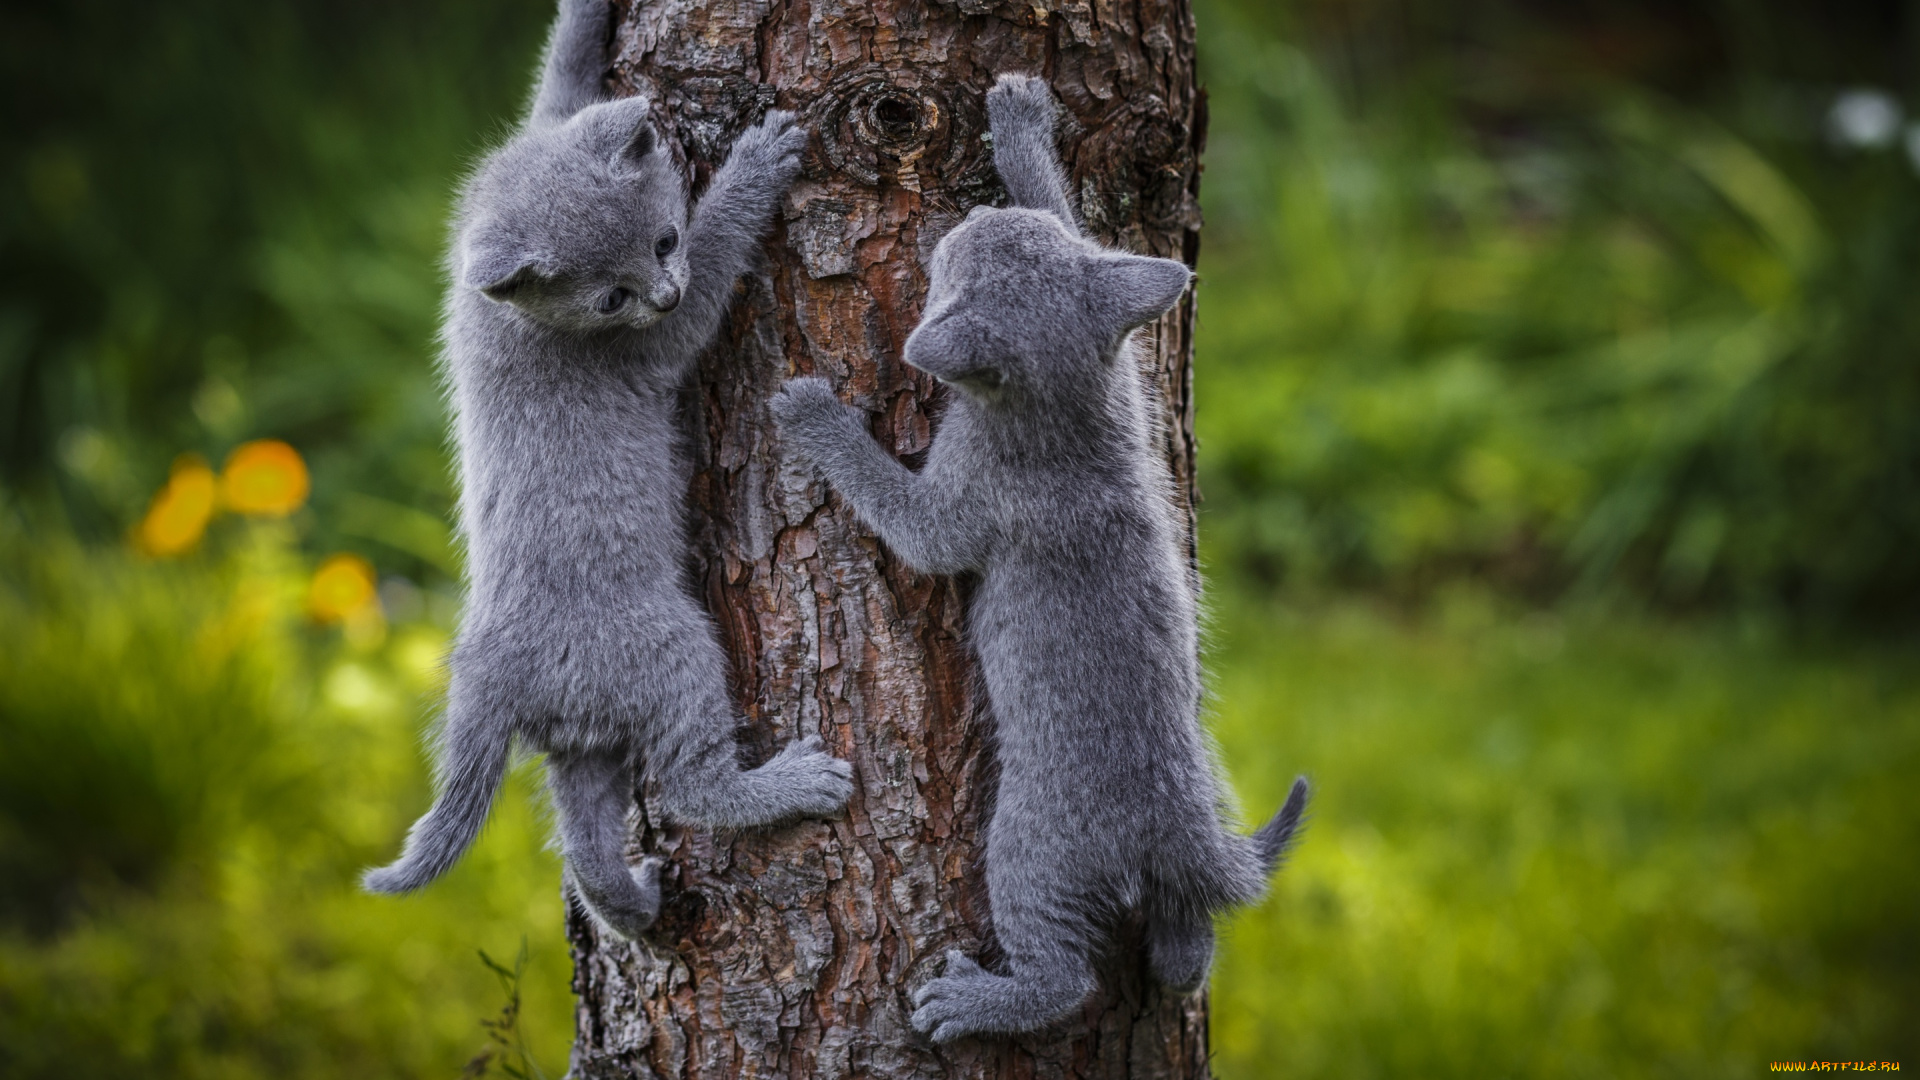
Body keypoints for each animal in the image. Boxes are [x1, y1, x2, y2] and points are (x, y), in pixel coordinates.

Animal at [362, 0, 852, 933]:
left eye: (662, 241)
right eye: (612, 297)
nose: (660, 292)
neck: (507, 314)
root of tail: (488, 667)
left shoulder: (546, 117)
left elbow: (563, 64)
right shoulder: (653, 348)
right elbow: (715, 263)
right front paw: (757, 164)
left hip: (581, 740)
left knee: (586, 847)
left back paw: (636, 902)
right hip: (673, 648)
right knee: (693, 785)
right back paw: (791, 784)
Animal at [771, 73, 1313, 1037]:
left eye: (953, 261)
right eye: (993, 236)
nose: (974, 210)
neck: (1068, 411)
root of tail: (1184, 830)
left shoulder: (956, 510)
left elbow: (906, 515)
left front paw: (816, 416)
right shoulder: (1128, 370)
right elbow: (1080, 223)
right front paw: (1024, 126)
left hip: (1028, 850)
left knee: (1068, 979)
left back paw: (978, 1000)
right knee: (1184, 947)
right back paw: (1182, 953)